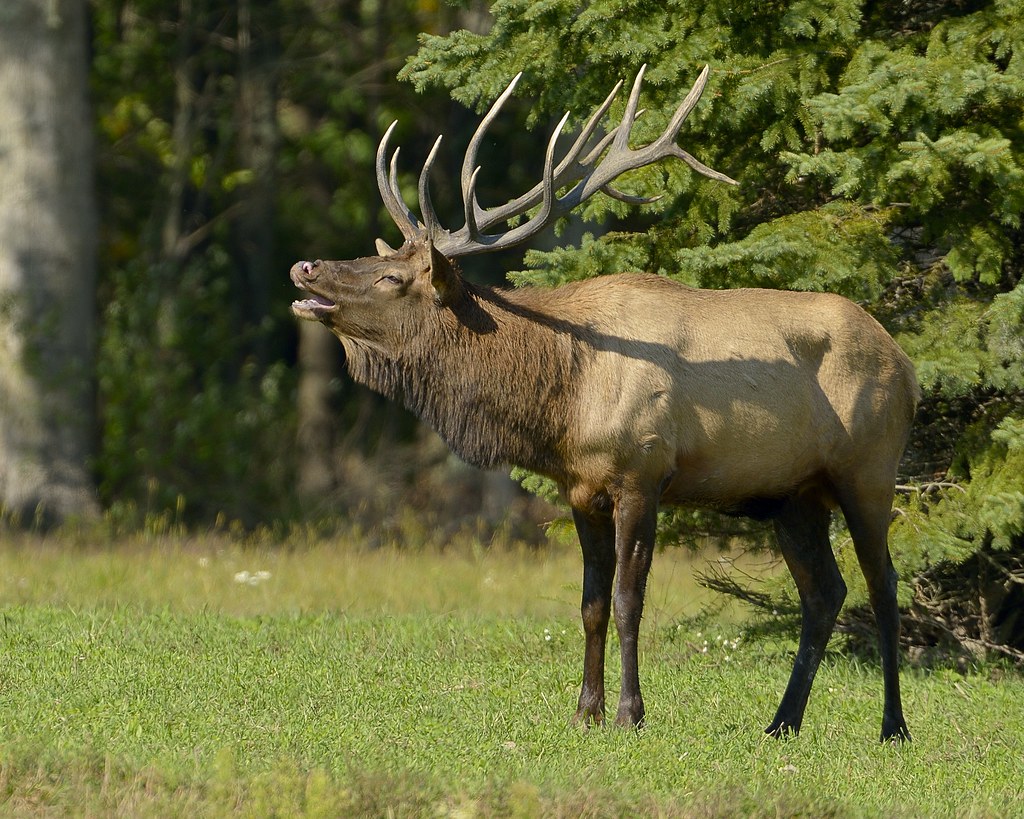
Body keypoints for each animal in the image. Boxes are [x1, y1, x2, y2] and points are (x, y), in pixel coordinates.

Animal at [289, 65, 919, 742]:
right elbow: (589, 604)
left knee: (884, 586)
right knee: (824, 593)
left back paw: (893, 725)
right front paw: (584, 710)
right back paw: (782, 722)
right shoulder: (581, 487)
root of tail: (907, 365)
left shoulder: (642, 474)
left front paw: (629, 712)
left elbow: (626, 601)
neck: (562, 399)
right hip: (794, 495)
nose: (304, 266)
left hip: (868, 470)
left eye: (390, 278)